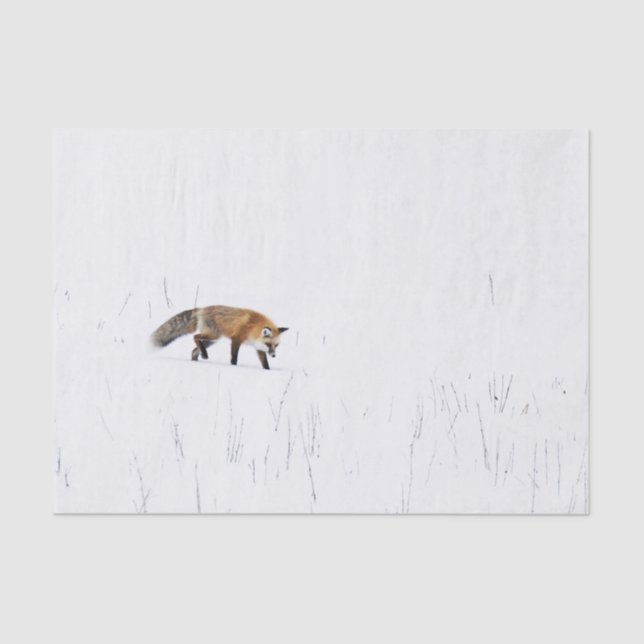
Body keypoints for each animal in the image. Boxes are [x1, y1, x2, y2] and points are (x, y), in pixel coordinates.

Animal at [150, 305, 288, 370]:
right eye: (268, 344)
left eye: (276, 345)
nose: (274, 355)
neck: (252, 328)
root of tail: (201, 309)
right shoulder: (236, 339)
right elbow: (234, 358)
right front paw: (233, 367)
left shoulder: (258, 347)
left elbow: (265, 364)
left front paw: (268, 371)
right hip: (213, 335)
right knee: (195, 337)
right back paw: (204, 355)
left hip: (212, 340)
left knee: (194, 350)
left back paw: (198, 359)